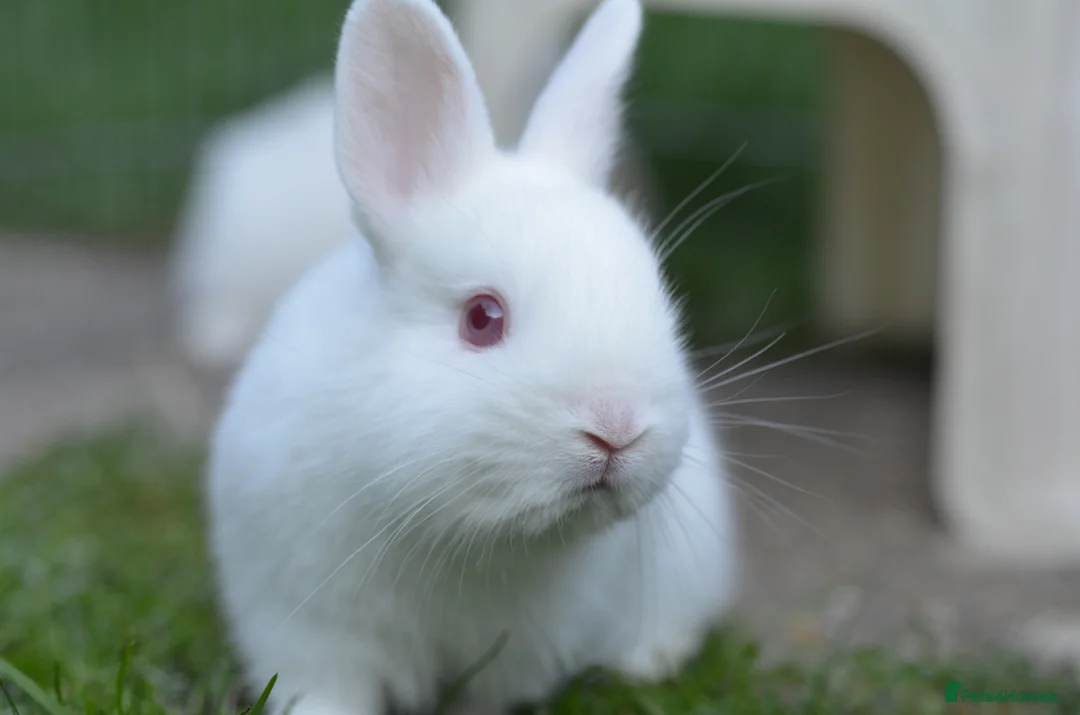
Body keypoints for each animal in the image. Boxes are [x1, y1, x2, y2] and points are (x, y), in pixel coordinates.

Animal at [206, 0, 738, 714]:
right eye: (482, 318)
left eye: (657, 299)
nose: (617, 428)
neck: (466, 534)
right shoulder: (309, 632)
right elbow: (325, 690)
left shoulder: (520, 657)